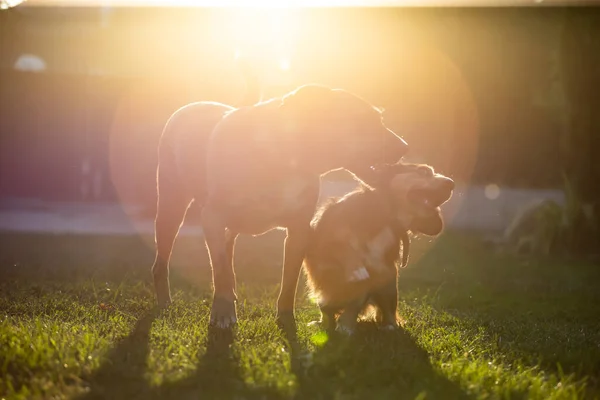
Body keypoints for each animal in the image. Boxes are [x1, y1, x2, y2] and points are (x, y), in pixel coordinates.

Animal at [152, 76, 410, 332]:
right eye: (365, 120)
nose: (405, 146)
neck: (284, 156)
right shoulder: (212, 218)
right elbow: (220, 270)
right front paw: (223, 313)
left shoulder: (299, 229)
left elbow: (289, 281)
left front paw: (286, 319)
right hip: (170, 207)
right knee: (164, 261)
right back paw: (165, 300)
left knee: (228, 248)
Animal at [302, 162, 452, 334]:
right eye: (424, 171)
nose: (452, 184)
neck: (387, 218)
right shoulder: (320, 240)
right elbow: (341, 246)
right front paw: (356, 268)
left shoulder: (378, 272)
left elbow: (358, 297)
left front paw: (346, 325)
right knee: (325, 309)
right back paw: (323, 322)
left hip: (389, 284)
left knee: (387, 310)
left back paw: (388, 325)